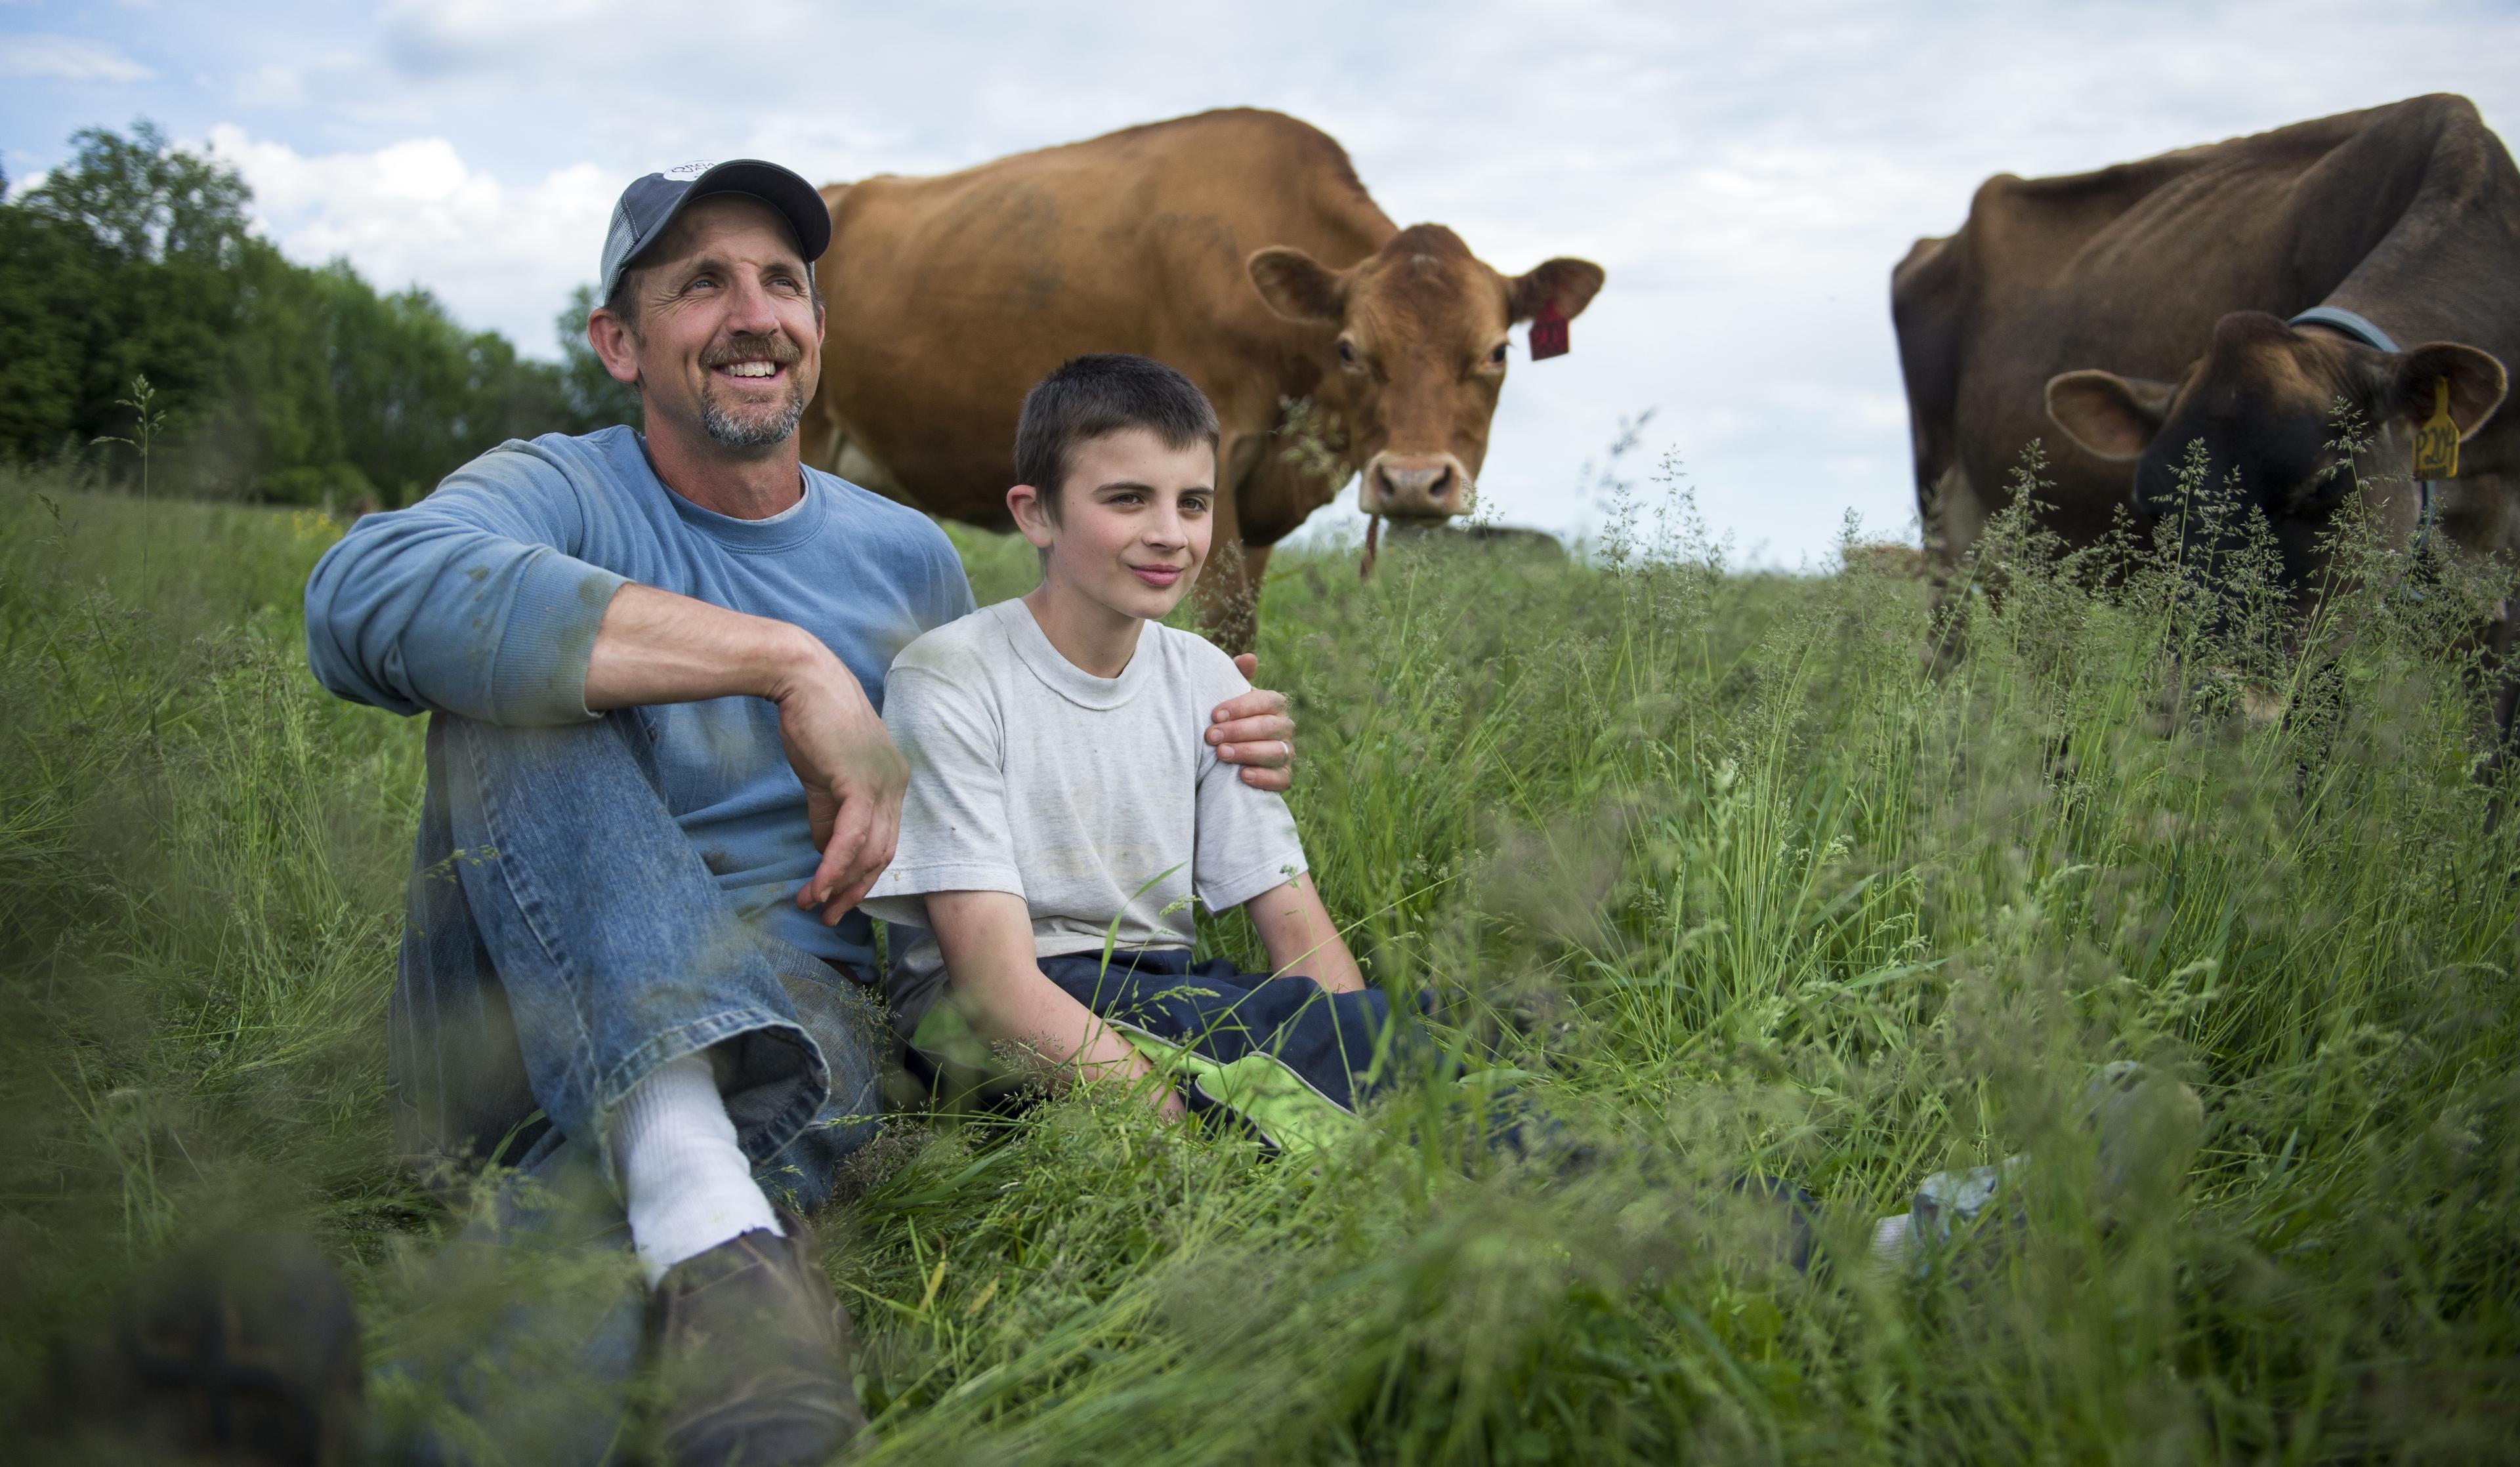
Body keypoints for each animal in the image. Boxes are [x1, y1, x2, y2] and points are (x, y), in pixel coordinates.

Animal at [796, 109, 1603, 650]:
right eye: (1348, 348)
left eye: (1496, 352)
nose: (1411, 482)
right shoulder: (1214, 455)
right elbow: (1219, 620)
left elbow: (1245, 624)